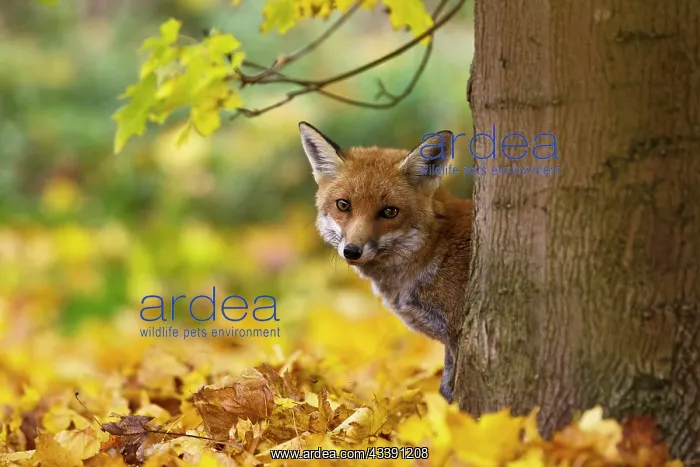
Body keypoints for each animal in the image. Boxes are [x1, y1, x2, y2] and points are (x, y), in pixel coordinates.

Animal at [298, 121, 474, 402]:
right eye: (343, 205)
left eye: (390, 211)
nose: (352, 251)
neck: (436, 248)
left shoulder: (457, 337)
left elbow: (449, 394)